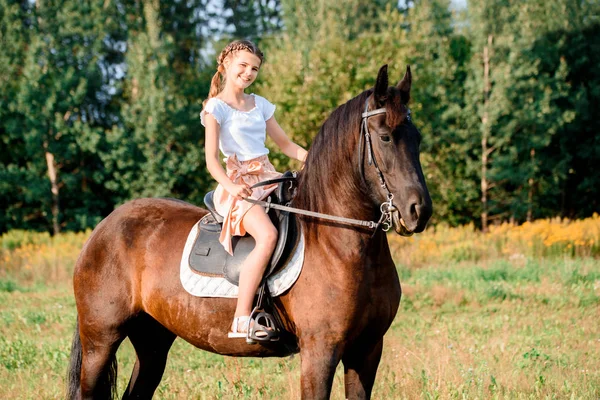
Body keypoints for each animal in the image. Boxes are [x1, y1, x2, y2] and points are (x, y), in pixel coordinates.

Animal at [67, 64, 432, 398]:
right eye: (385, 137)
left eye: (416, 138)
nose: (420, 210)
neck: (338, 244)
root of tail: (104, 228)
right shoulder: (321, 350)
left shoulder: (367, 349)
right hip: (101, 340)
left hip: (152, 341)